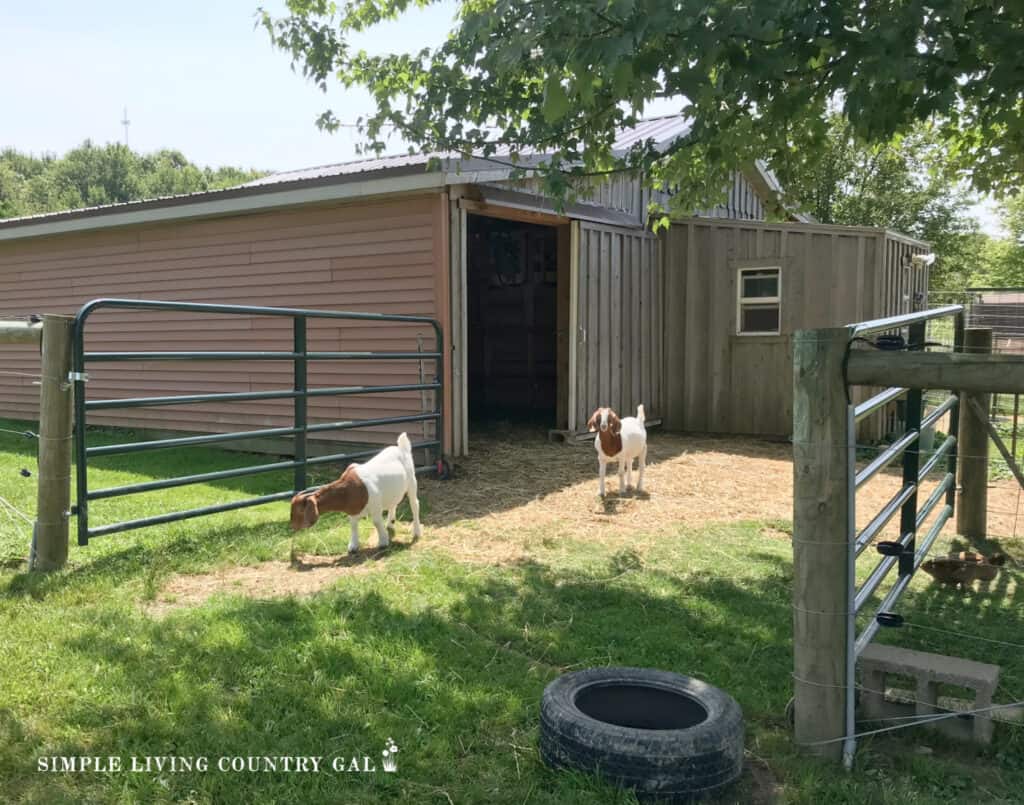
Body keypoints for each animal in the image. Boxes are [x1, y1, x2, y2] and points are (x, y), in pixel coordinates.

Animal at [286, 432, 421, 553]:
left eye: (299, 510)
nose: (292, 526)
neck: (348, 490)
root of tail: (402, 448)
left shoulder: (375, 505)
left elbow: (376, 522)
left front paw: (383, 542)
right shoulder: (352, 510)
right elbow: (353, 525)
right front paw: (353, 546)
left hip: (412, 481)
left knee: (415, 504)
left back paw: (416, 532)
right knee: (393, 503)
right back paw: (390, 524)